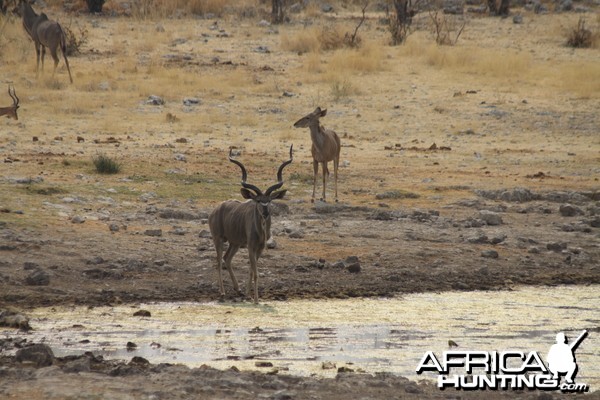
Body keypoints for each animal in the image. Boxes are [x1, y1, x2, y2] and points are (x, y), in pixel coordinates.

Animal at [209, 146, 292, 304]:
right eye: (258, 200)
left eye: (269, 200)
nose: (265, 212)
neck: (260, 232)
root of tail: (215, 210)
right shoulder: (251, 246)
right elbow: (255, 272)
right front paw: (256, 300)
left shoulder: (259, 248)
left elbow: (251, 270)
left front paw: (248, 295)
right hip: (218, 239)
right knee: (218, 261)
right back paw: (222, 293)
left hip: (234, 243)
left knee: (227, 258)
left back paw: (238, 290)